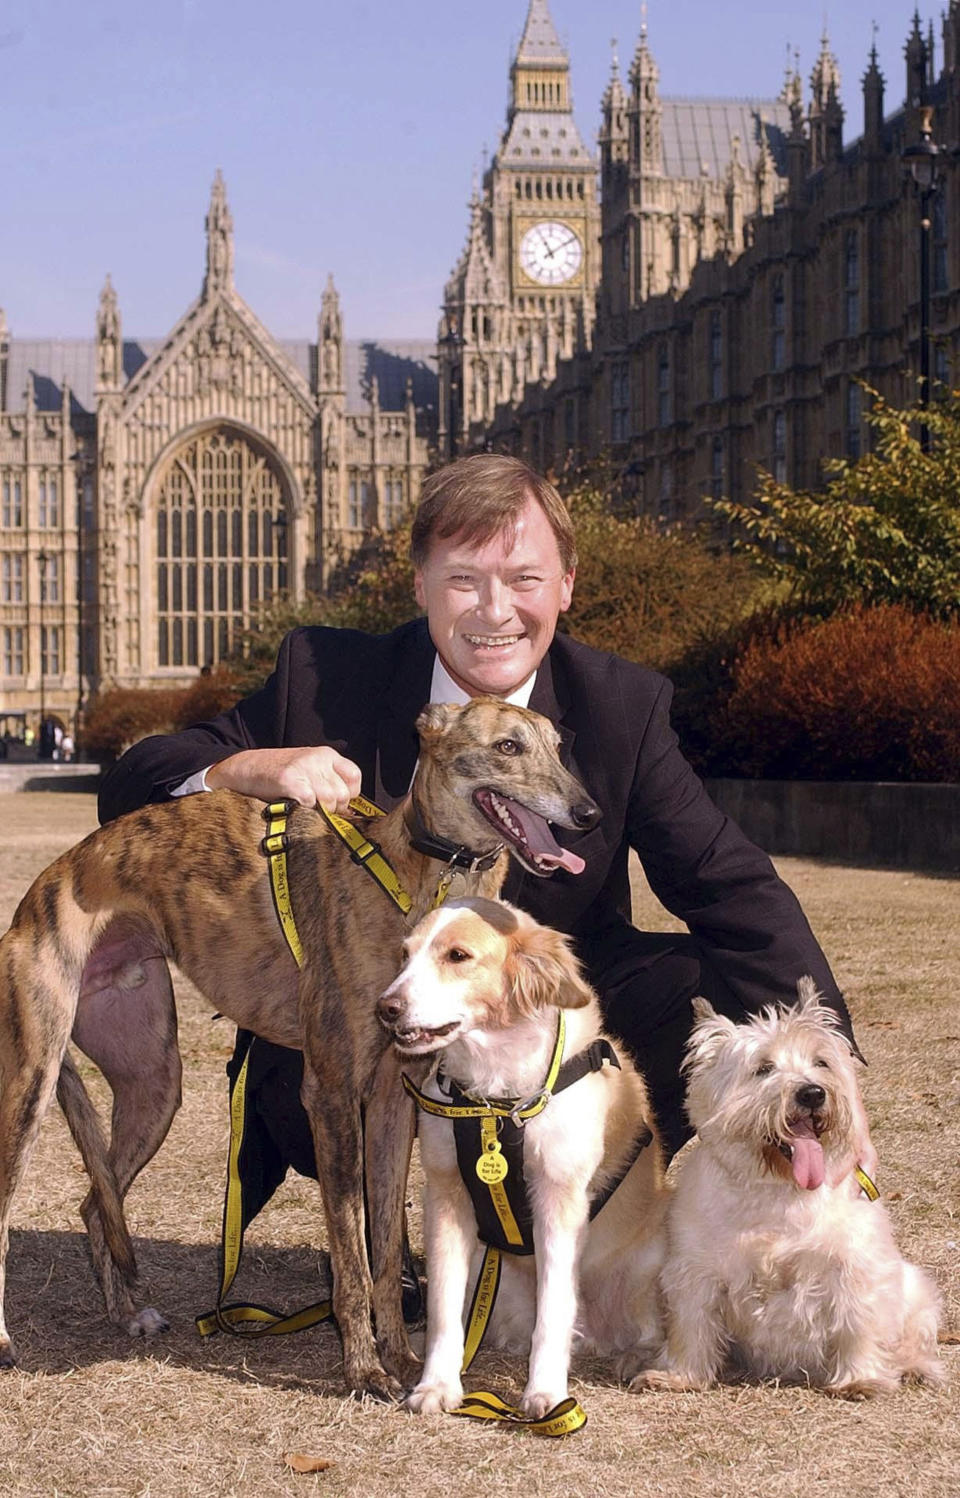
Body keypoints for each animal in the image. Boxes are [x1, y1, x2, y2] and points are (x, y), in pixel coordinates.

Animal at [375, 892, 664, 1420]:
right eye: (405, 955)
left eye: (458, 956)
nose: (386, 1008)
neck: (496, 1100)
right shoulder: (446, 1196)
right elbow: (444, 1308)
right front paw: (437, 1385)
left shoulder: (558, 1201)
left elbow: (553, 1309)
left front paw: (546, 1393)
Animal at [632, 988, 940, 1396]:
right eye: (763, 1068)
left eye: (821, 1062)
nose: (812, 1094)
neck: (778, 1190)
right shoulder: (695, 1271)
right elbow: (692, 1325)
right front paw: (679, 1376)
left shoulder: (853, 1266)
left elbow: (857, 1324)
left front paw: (861, 1378)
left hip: (917, 1291)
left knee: (913, 1338)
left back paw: (916, 1368)